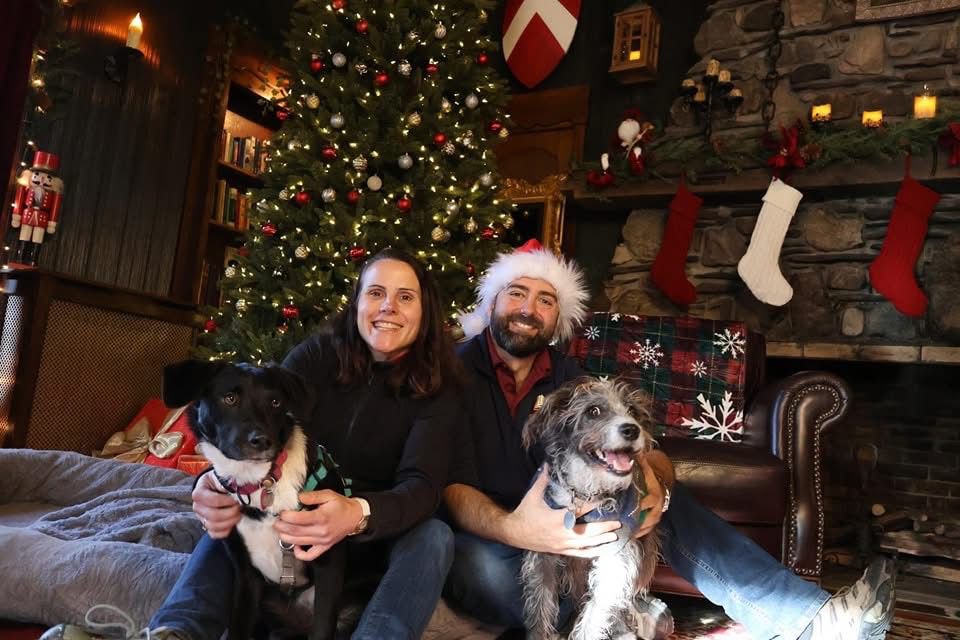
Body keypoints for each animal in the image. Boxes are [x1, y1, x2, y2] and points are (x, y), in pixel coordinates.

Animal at [163, 359, 346, 640]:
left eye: (276, 402)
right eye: (229, 398)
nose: (262, 441)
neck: (261, 483)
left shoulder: (328, 562)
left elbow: (322, 628)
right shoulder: (246, 575)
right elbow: (239, 626)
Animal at [520, 377, 665, 640]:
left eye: (632, 411)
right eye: (593, 411)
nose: (632, 429)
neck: (583, 494)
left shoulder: (616, 559)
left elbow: (595, 614)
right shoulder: (542, 554)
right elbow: (539, 606)